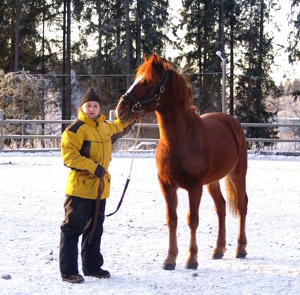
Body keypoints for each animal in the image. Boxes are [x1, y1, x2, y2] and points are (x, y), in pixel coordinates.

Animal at [115, 55, 248, 270]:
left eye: (146, 82)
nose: (121, 110)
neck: (180, 139)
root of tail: (231, 122)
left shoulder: (194, 187)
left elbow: (192, 219)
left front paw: (191, 259)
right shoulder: (167, 185)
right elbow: (172, 220)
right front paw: (170, 259)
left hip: (238, 173)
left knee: (242, 206)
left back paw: (241, 248)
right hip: (213, 181)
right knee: (220, 207)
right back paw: (218, 250)